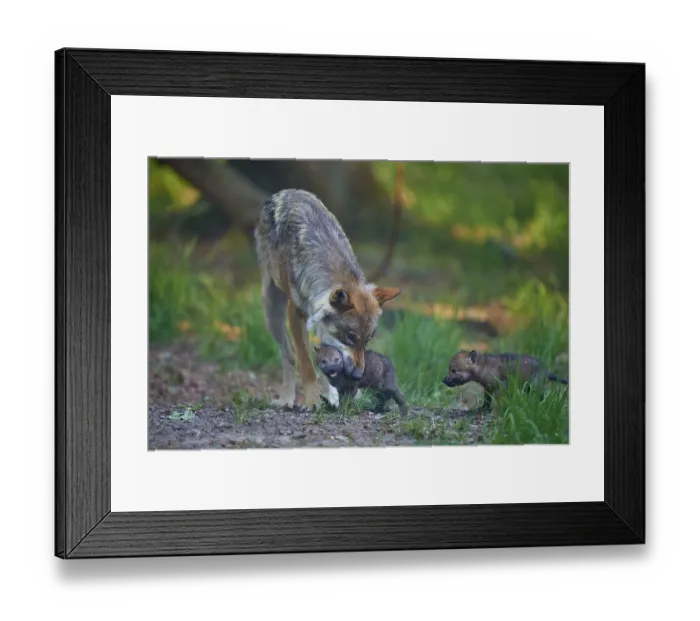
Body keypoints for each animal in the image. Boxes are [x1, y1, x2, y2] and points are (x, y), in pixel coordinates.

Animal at [254, 189, 401, 410]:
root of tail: (287, 191)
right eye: (351, 336)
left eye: (368, 340)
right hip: (272, 314)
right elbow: (306, 364)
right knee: (289, 357)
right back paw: (287, 398)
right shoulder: (295, 316)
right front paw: (312, 402)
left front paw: (338, 395)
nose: (358, 375)